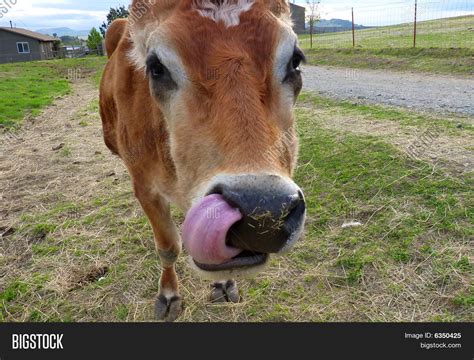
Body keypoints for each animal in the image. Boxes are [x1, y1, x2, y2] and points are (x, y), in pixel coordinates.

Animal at [100, 0, 308, 320]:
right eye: (155, 66)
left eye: (295, 61)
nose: (263, 212)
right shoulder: (144, 186)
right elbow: (168, 246)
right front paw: (168, 295)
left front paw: (223, 284)